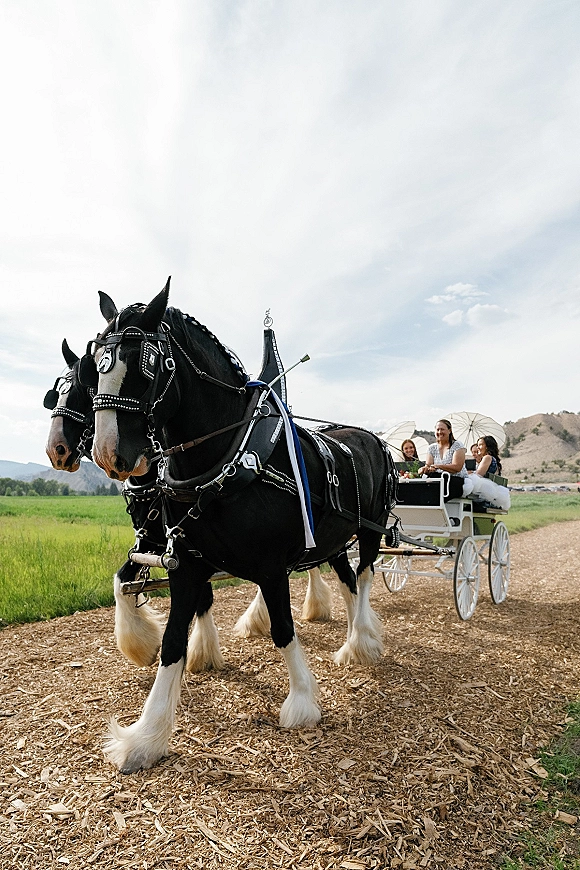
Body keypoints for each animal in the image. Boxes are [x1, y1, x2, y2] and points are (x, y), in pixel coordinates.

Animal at [86, 280, 398, 772]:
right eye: (94, 362)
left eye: (146, 363)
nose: (107, 452)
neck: (227, 455)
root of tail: (374, 440)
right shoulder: (186, 563)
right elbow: (171, 643)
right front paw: (145, 737)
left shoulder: (270, 566)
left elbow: (284, 629)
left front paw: (302, 702)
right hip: (330, 541)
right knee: (349, 581)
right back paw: (354, 636)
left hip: (369, 529)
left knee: (365, 577)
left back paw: (361, 641)